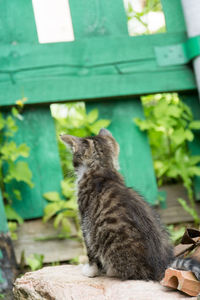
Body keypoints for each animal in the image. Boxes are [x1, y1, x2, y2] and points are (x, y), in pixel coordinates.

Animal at [60, 129, 200, 282]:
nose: (73, 166)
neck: (102, 170)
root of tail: (161, 265)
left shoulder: (86, 221)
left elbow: (90, 249)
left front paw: (90, 270)